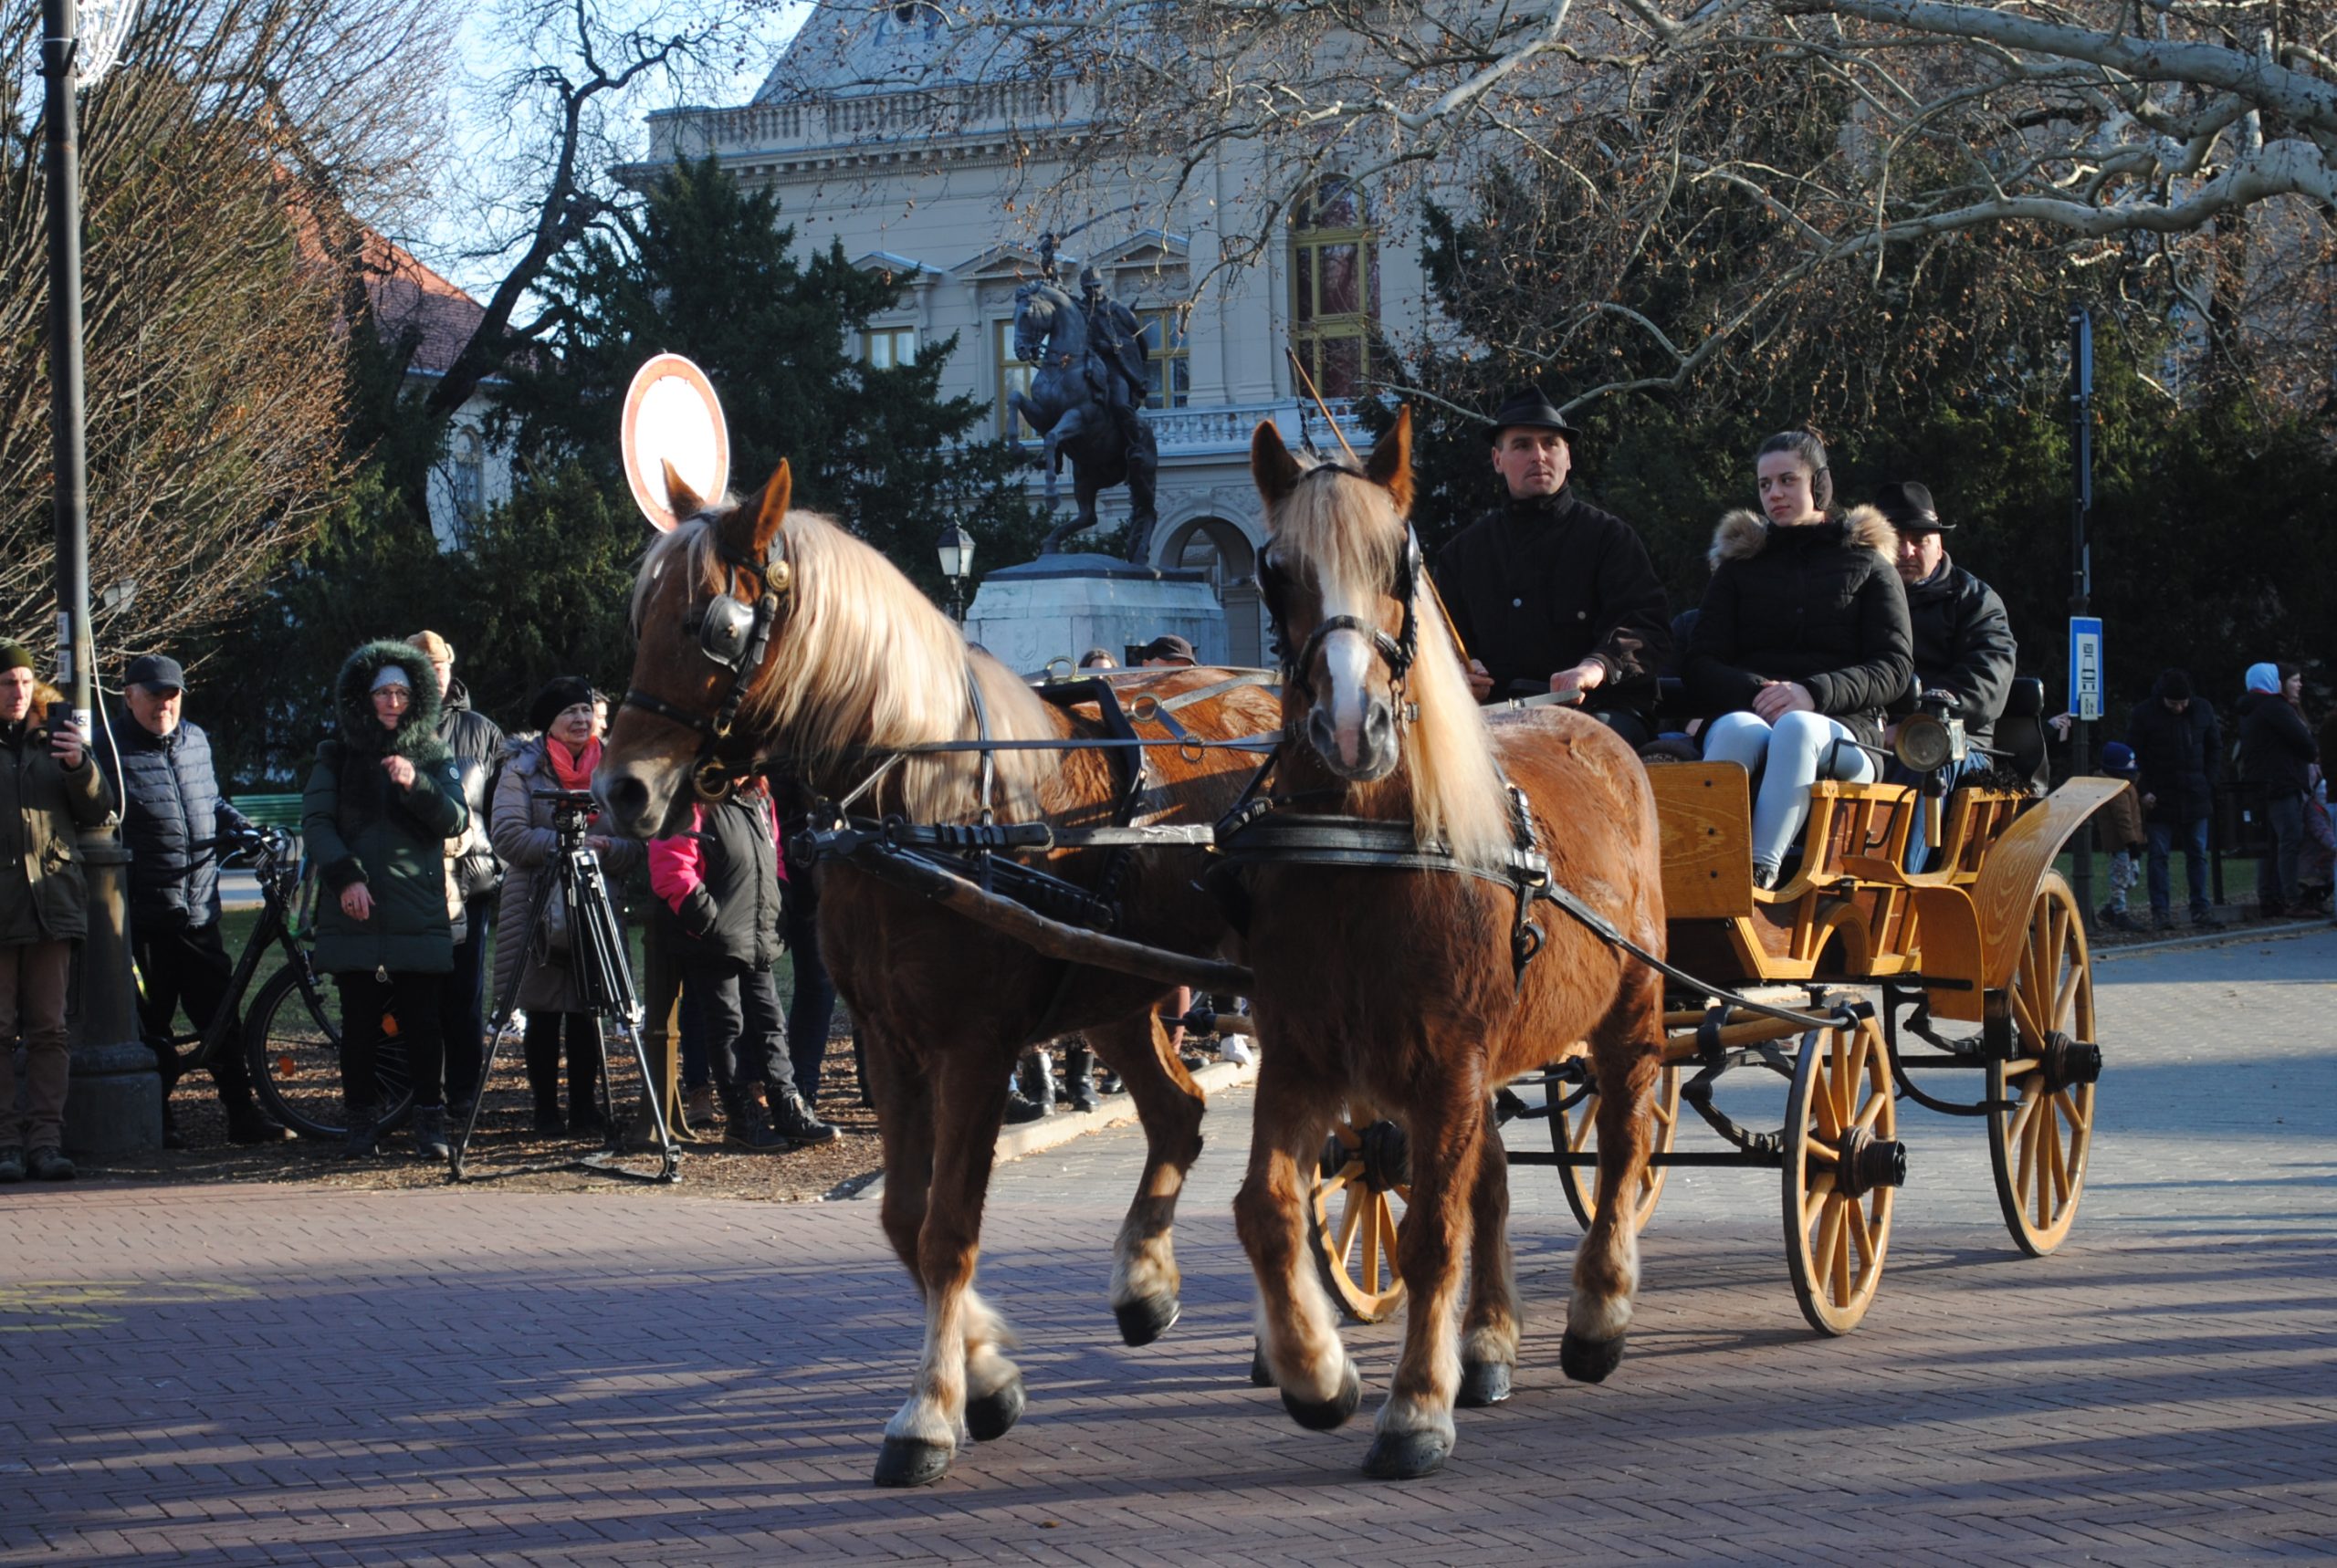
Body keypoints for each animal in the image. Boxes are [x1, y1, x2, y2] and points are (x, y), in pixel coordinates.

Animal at [598, 460, 1280, 1486]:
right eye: (638, 617)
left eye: (711, 625)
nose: (622, 790)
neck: (928, 800)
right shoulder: (888, 1042)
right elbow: (901, 1218)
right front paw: (986, 1373)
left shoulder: (971, 1051)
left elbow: (947, 1227)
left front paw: (929, 1412)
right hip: (1117, 990)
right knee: (1180, 1114)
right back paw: (1147, 1285)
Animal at [1233, 409, 1672, 1486]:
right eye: (1276, 572)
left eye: (1399, 559)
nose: (1352, 728)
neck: (1361, 854)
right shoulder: (1301, 1054)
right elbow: (1270, 1208)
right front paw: (1317, 1373)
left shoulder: (1449, 1062)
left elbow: (1431, 1232)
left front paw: (1414, 1408)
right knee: (1496, 1183)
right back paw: (1488, 1342)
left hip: (1629, 1013)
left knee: (1621, 1145)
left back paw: (1598, 1312)